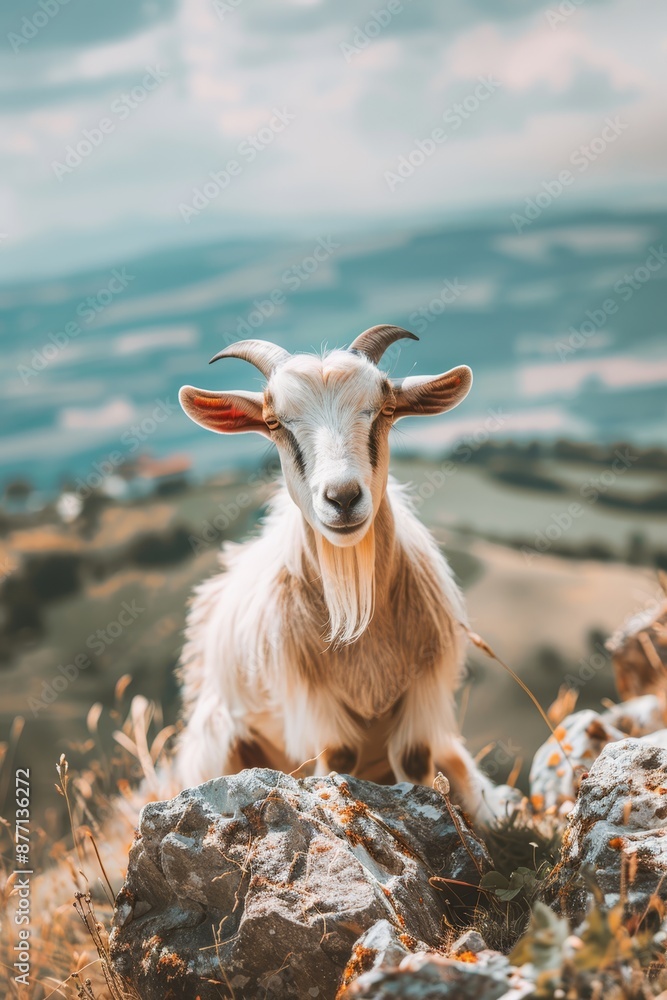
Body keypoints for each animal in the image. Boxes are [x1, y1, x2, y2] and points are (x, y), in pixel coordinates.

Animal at [175, 326, 496, 819]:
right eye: (274, 422)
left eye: (385, 410)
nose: (342, 498)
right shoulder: (316, 706)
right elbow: (341, 758)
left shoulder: (422, 698)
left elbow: (416, 760)